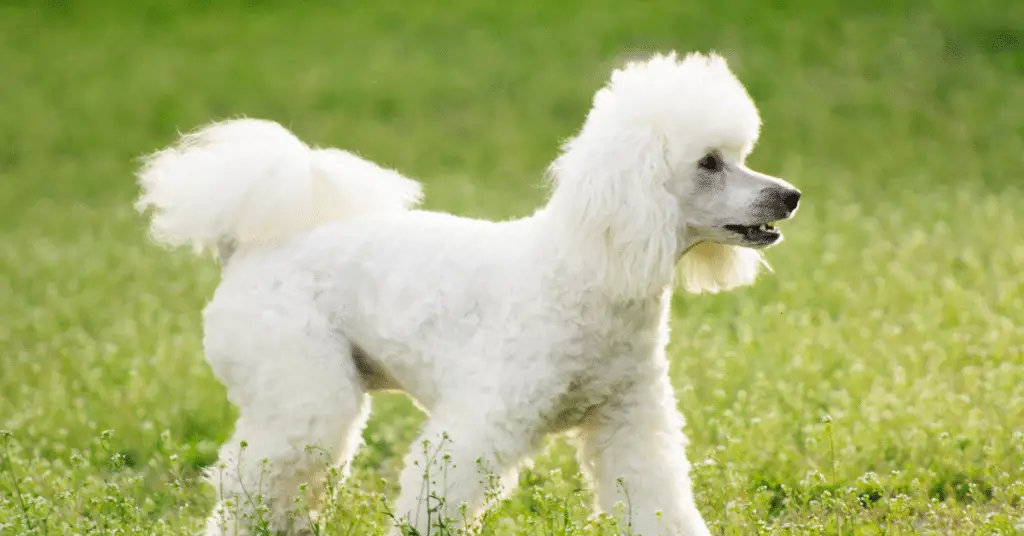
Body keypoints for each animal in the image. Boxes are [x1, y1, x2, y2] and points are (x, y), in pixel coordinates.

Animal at [138, 51, 798, 536]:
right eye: (709, 163)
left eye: (739, 155)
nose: (789, 196)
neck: (586, 272)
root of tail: (245, 250)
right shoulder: (481, 424)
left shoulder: (629, 423)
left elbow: (657, 500)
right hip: (303, 396)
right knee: (250, 487)